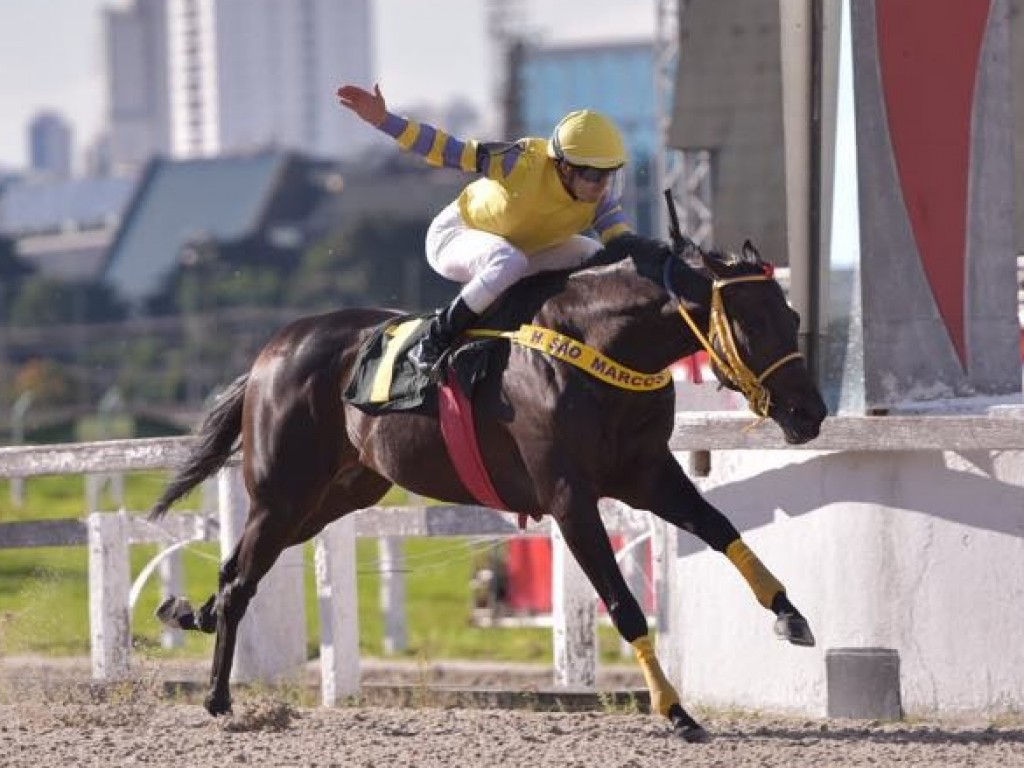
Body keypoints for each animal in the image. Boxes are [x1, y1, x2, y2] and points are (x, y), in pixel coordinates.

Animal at [149, 231, 823, 741]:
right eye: (750, 322)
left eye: (791, 315)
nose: (809, 412)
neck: (596, 348)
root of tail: (271, 352)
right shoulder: (568, 498)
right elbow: (623, 603)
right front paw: (676, 711)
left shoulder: (649, 474)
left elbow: (723, 529)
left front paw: (791, 616)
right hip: (284, 493)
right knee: (241, 580)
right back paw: (217, 697)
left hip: (334, 497)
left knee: (236, 570)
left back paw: (194, 616)